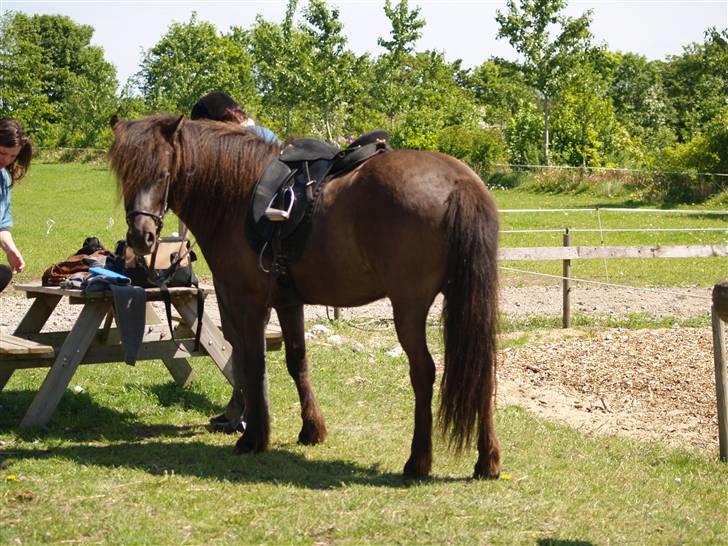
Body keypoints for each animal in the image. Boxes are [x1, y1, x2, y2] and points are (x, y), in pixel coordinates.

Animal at [109, 113, 500, 476]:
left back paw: (418, 461)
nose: (141, 237)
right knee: (483, 369)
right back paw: (488, 461)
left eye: (163, 173)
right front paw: (311, 429)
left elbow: (252, 361)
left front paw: (254, 437)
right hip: (471, 303)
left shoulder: (247, 301)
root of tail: (460, 182)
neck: (238, 195)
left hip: (409, 308)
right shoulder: (288, 301)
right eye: (125, 174)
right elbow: (297, 360)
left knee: (423, 372)